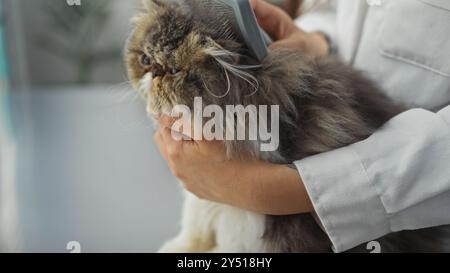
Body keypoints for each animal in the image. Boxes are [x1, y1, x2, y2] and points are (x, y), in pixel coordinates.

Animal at [124, 0, 414, 252]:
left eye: (174, 71)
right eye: (145, 60)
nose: (153, 74)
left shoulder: (250, 220)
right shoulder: (203, 206)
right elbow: (194, 228)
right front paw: (179, 247)